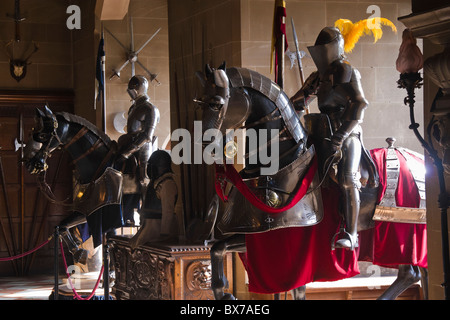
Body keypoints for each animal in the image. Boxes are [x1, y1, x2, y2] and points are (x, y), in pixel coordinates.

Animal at [198, 63, 428, 300]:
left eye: (216, 103)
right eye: (200, 101)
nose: (205, 143)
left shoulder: (291, 237)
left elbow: (297, 288)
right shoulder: (258, 236)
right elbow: (217, 250)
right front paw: (225, 294)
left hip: (403, 233)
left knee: (410, 272)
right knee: (413, 273)